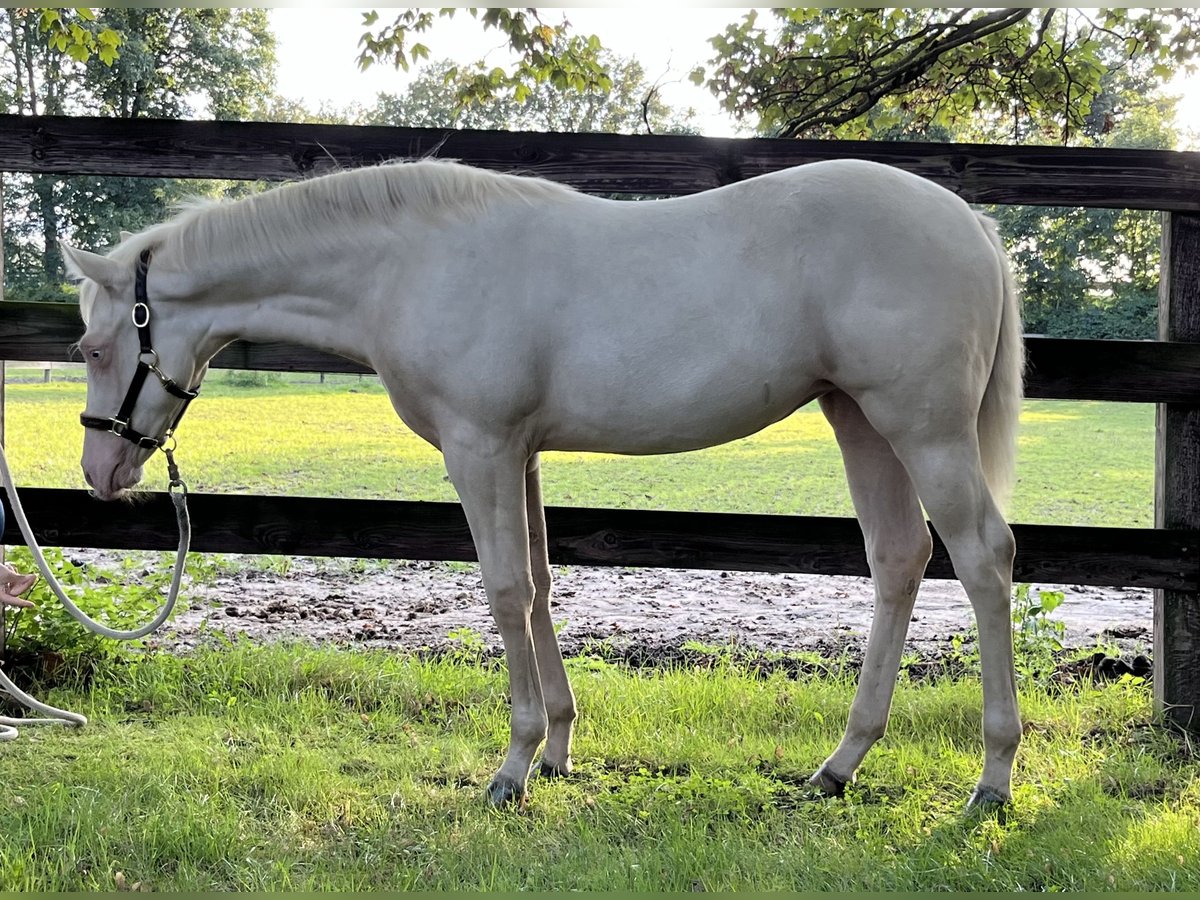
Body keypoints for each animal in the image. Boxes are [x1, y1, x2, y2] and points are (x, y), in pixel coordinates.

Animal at [60, 157, 1022, 811]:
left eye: (94, 348)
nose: (100, 473)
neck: (411, 264)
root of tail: (971, 224)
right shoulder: (519, 452)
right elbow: (543, 584)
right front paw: (558, 746)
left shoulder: (478, 447)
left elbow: (505, 589)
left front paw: (514, 767)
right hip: (859, 420)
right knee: (899, 559)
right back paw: (840, 764)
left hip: (923, 430)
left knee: (983, 558)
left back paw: (993, 777)